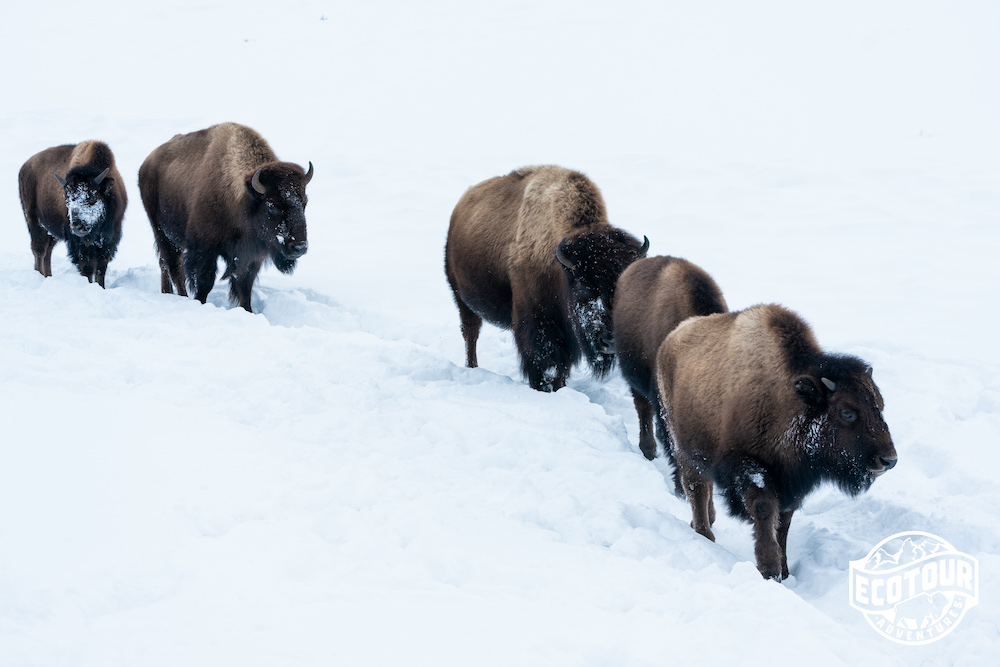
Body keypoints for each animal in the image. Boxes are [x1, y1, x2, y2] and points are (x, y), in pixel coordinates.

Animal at [18, 141, 127, 288]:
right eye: (68, 199)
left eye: (93, 197)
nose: (77, 226)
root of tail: (24, 167)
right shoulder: (80, 247)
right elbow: (88, 269)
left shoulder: (108, 242)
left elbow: (100, 270)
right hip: (34, 222)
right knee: (39, 250)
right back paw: (40, 276)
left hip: (51, 232)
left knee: (47, 252)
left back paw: (48, 276)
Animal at [138, 122, 312, 314]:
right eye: (272, 206)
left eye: (305, 202)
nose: (299, 247)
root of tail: (146, 163)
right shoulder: (205, 249)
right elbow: (205, 282)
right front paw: (200, 302)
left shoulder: (250, 255)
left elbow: (244, 285)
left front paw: (247, 311)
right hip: (162, 233)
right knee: (174, 268)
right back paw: (181, 296)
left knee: (164, 264)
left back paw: (167, 292)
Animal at [446, 166, 648, 392]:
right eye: (583, 287)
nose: (610, 341)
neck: (558, 265)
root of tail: (461, 205)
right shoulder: (539, 325)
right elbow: (546, 364)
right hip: (461, 297)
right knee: (470, 333)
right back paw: (472, 366)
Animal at [656, 302, 900, 580]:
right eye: (847, 412)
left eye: (880, 405)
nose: (888, 459)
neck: (787, 398)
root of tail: (670, 340)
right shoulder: (748, 467)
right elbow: (764, 510)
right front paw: (769, 569)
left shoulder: (791, 483)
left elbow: (783, 523)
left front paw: (784, 571)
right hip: (684, 449)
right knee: (696, 489)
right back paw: (705, 535)